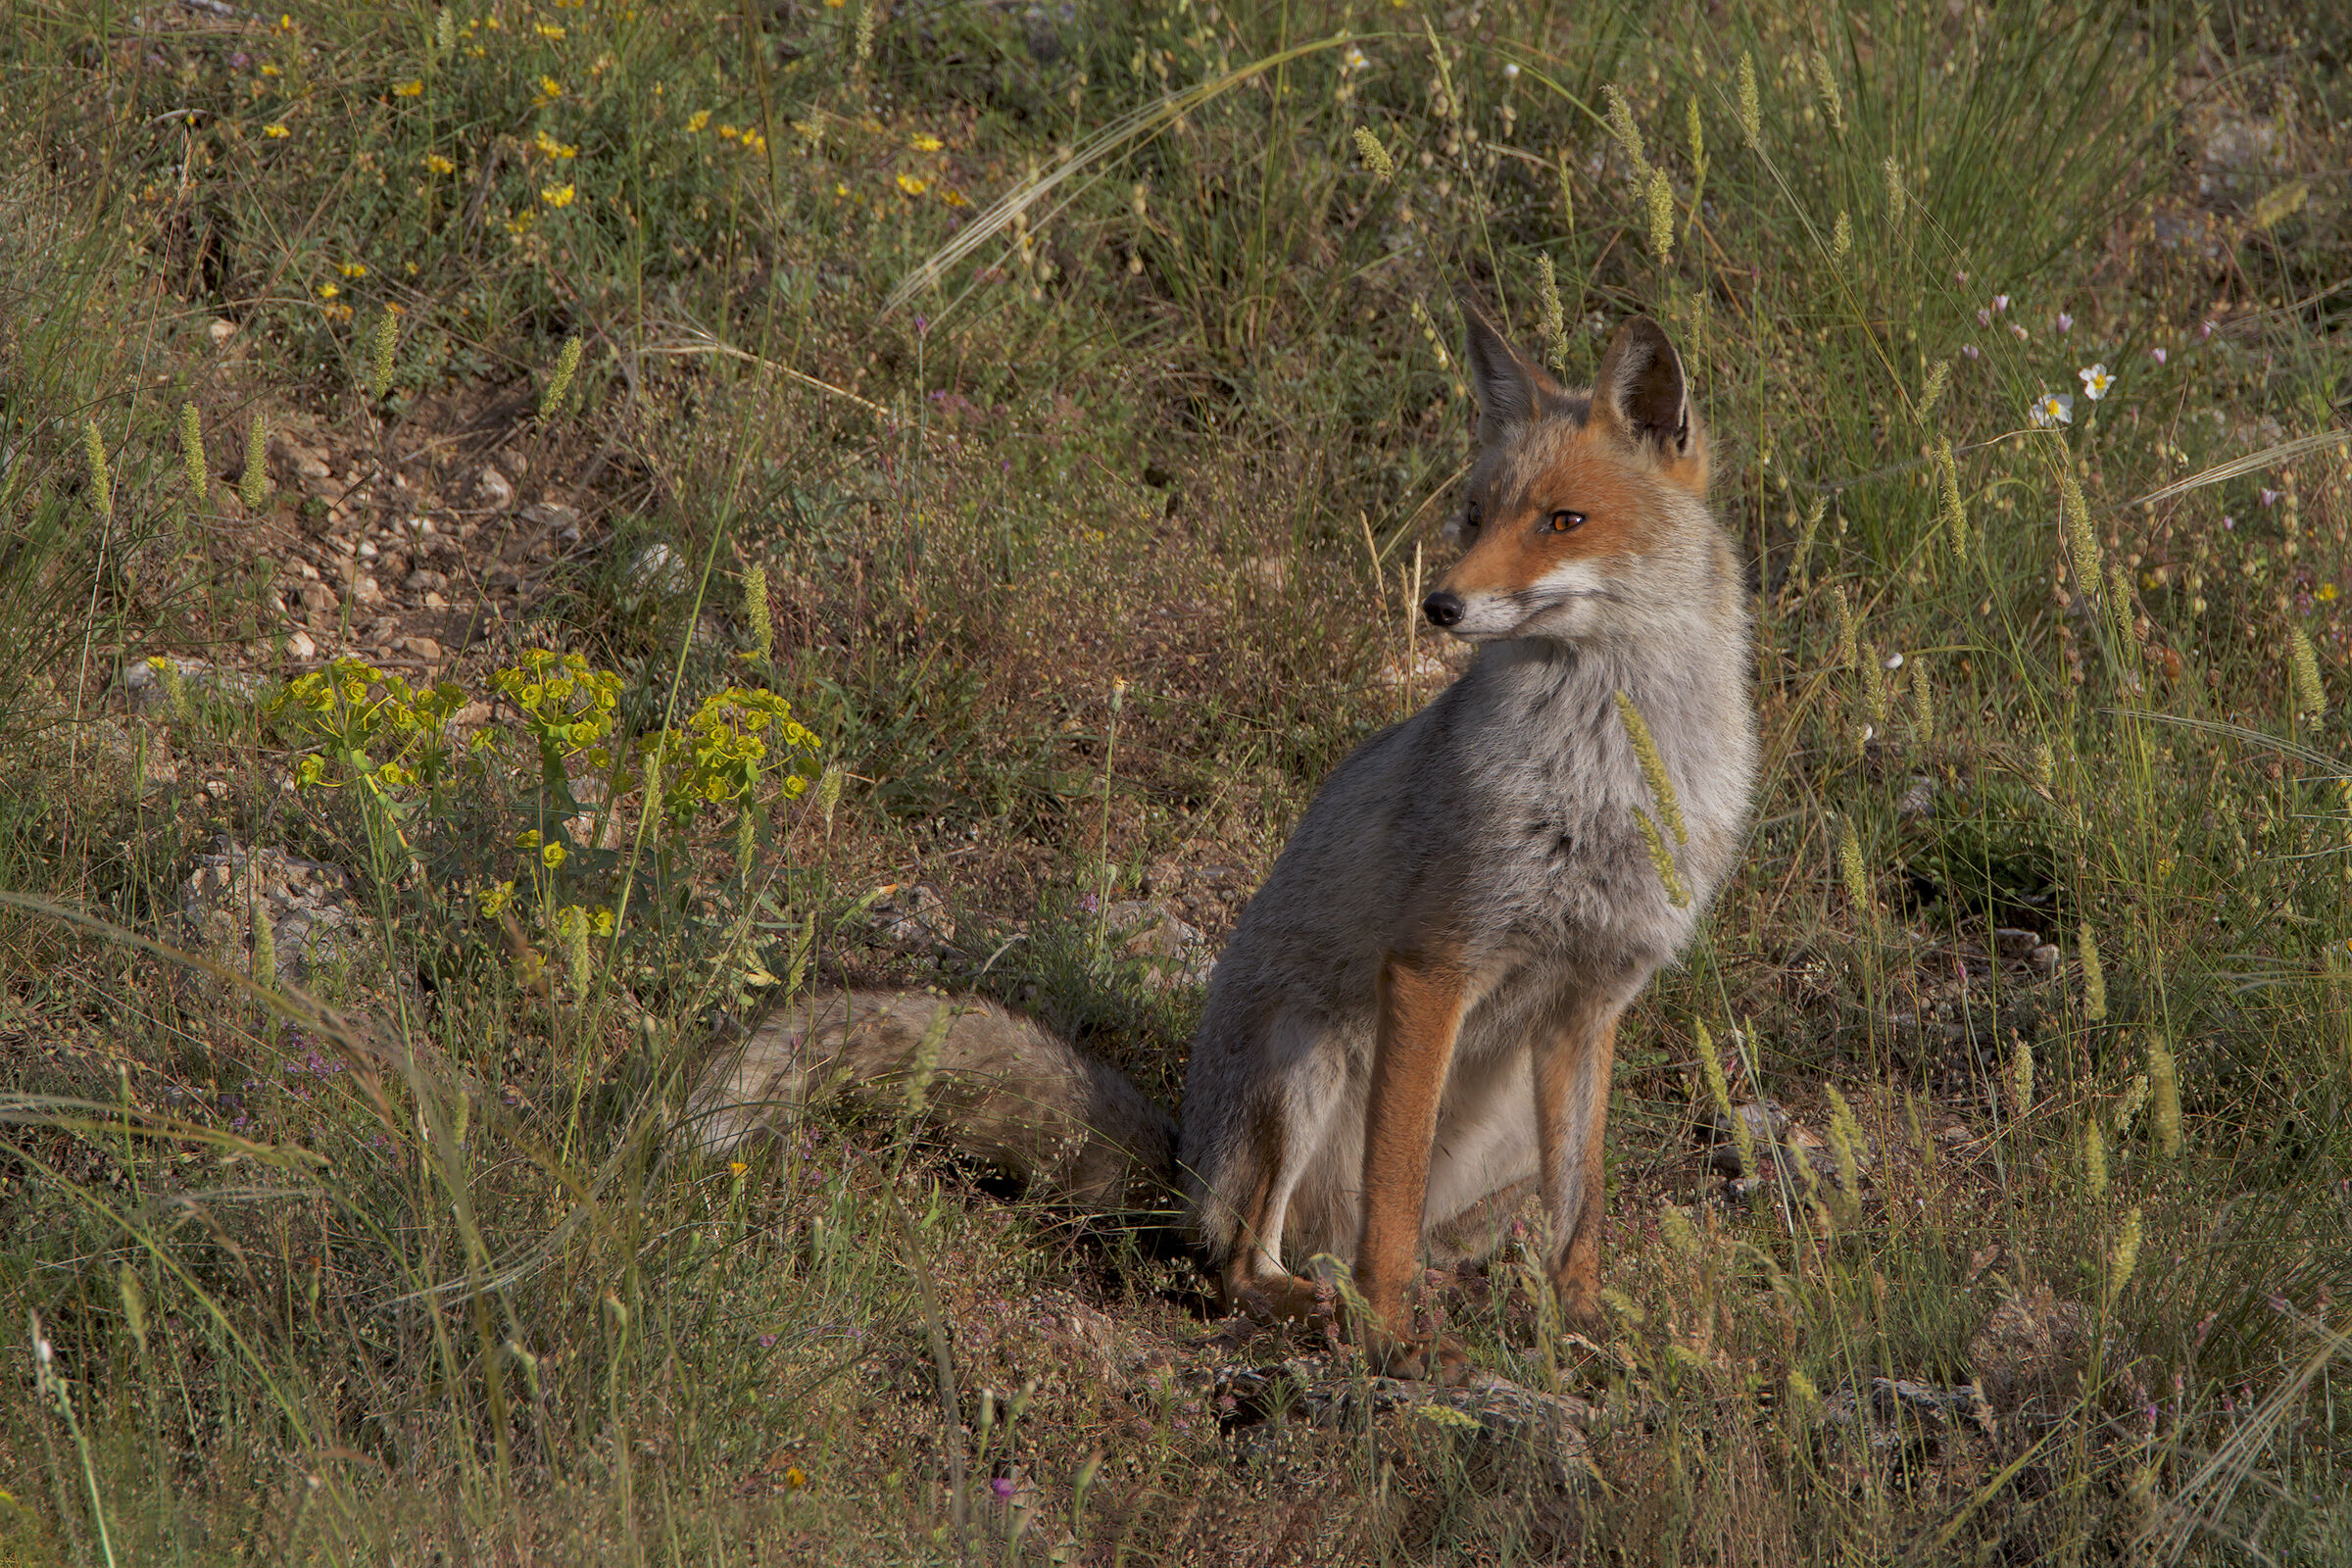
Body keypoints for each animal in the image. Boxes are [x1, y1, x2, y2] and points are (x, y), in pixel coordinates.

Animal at [690, 300, 1758, 1379]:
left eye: (1563, 521)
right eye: (1472, 513)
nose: (1439, 604)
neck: (1608, 783)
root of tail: (1182, 1165)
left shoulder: (1588, 1003)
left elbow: (1582, 1221)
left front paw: (1581, 1338)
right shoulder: (1435, 966)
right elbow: (1392, 1202)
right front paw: (1388, 1341)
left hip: (1489, 1160)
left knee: (1405, 1240)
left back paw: (1450, 1296)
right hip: (1303, 1063)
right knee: (1243, 1259)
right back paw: (1327, 1309)